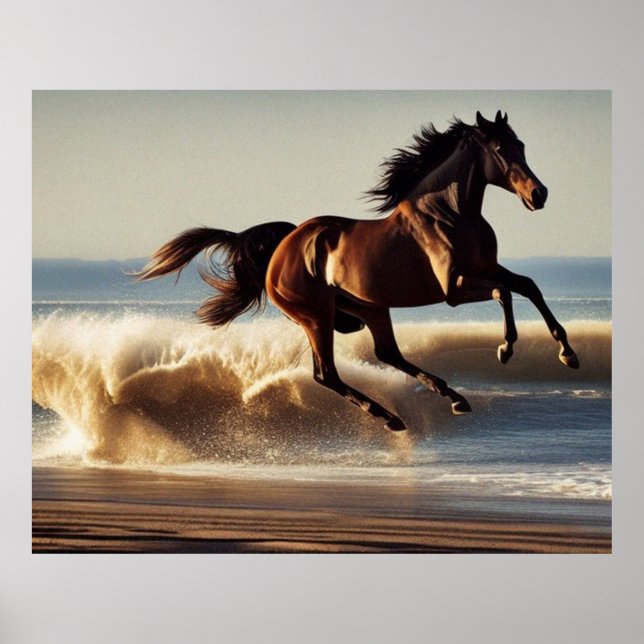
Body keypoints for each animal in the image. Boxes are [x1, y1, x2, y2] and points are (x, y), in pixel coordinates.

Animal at [136, 110, 579, 431]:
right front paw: (506, 348)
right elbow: (503, 292)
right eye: (502, 148)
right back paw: (392, 418)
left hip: (368, 308)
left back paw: (453, 398)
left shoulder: (486, 267)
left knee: (387, 353)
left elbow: (528, 286)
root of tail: (283, 245)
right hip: (318, 317)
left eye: (521, 144)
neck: (449, 213)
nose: (539, 194)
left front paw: (567, 354)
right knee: (326, 374)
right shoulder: (454, 288)